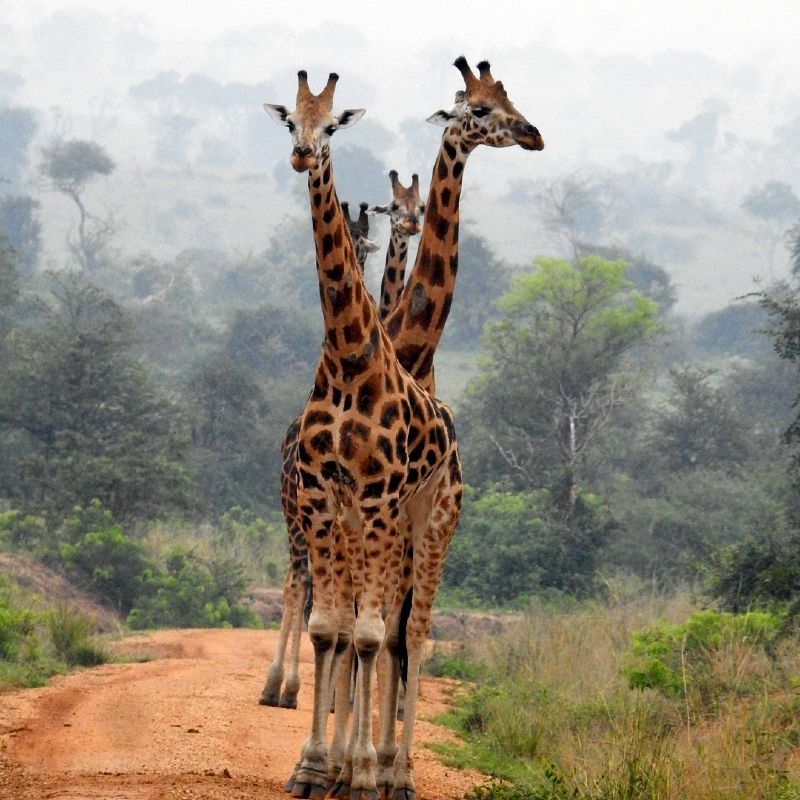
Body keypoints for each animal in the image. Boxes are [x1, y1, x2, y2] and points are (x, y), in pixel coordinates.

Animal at [264, 70, 461, 800]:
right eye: (291, 121)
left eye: (332, 126)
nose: (302, 154)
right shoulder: (330, 503)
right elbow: (339, 629)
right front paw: (326, 765)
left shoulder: (386, 514)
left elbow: (375, 635)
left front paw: (363, 766)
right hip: (307, 513)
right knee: (310, 595)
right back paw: (286, 695)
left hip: (417, 527)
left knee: (406, 633)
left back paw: (387, 765)